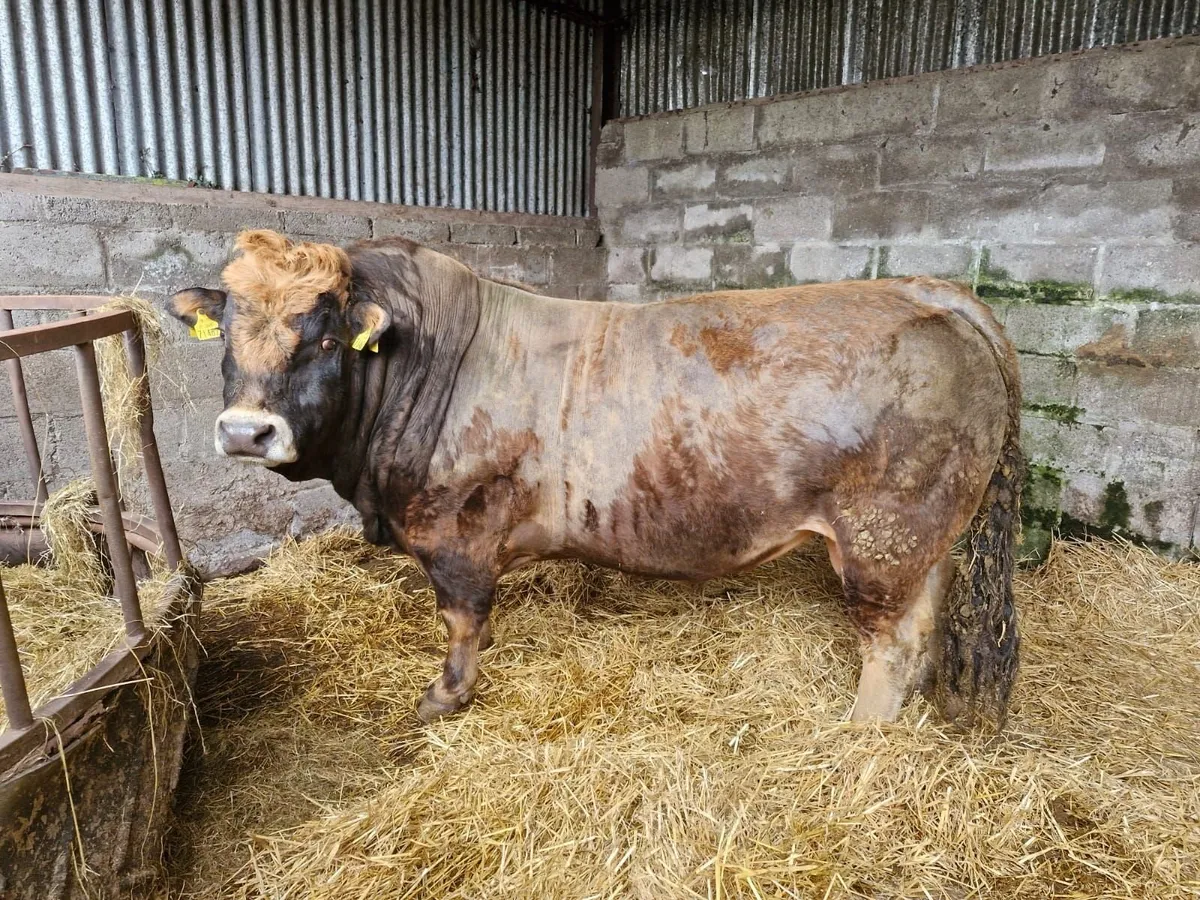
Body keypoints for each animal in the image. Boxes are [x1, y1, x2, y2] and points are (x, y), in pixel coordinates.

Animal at [170, 229, 1023, 729]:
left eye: (322, 336)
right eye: (228, 333)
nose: (245, 431)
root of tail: (926, 289)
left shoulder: (454, 535)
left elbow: (461, 622)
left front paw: (445, 697)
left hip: (883, 538)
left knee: (892, 642)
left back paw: (858, 733)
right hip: (924, 542)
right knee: (924, 626)